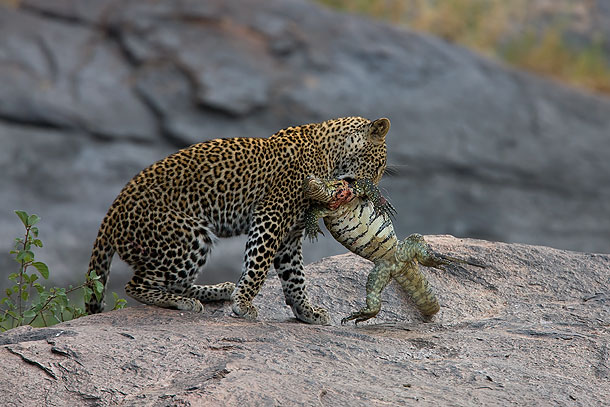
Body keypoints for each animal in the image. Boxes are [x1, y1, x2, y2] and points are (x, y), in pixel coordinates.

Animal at [84, 115, 390, 326]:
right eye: (377, 167)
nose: (369, 196)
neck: (330, 154)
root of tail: (112, 212)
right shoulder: (271, 215)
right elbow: (258, 265)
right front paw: (243, 303)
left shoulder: (290, 235)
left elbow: (295, 277)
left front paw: (307, 311)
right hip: (188, 236)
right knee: (137, 286)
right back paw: (185, 302)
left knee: (171, 282)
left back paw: (218, 289)